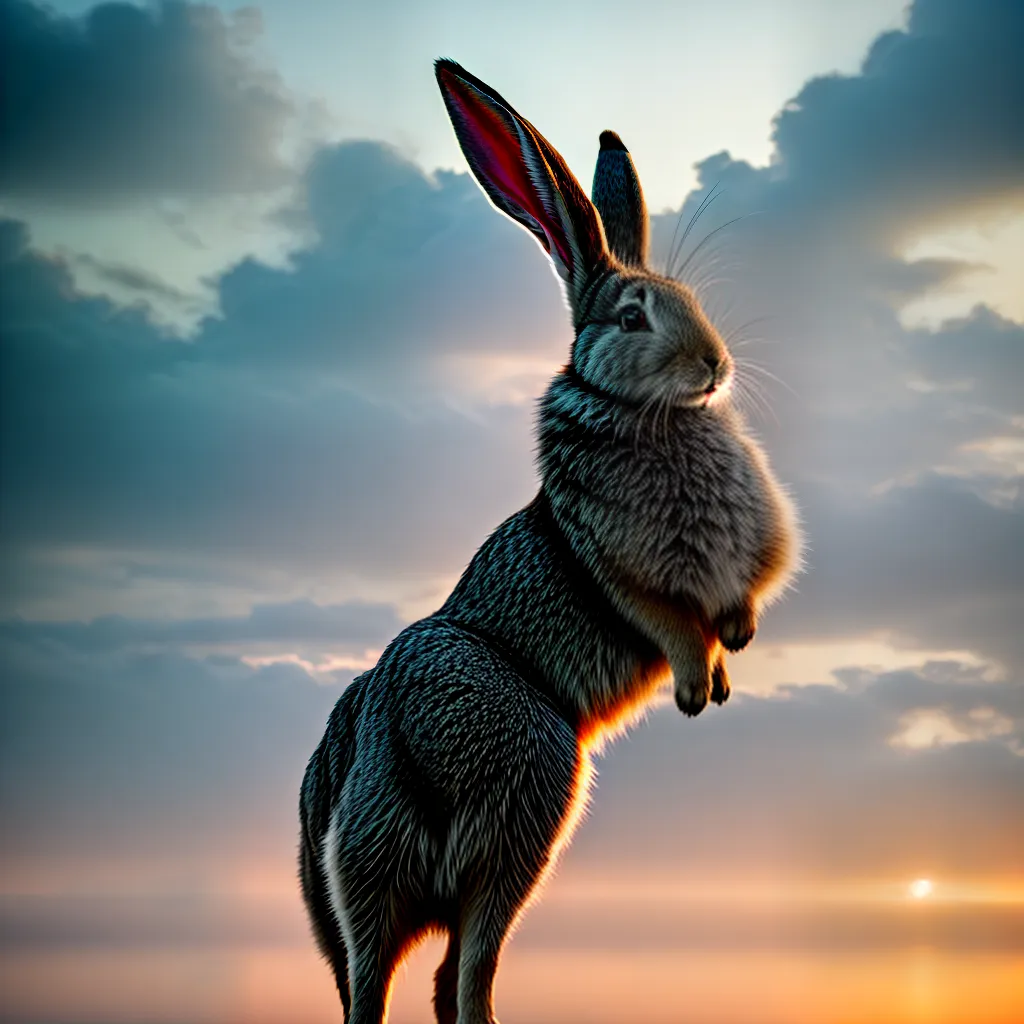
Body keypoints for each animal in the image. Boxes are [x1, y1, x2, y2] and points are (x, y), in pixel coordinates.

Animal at [299, 59, 803, 1024]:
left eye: (692, 303)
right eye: (632, 318)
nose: (715, 367)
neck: (642, 413)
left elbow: (733, 614)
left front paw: (733, 659)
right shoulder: (619, 567)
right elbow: (667, 621)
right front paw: (698, 691)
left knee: (418, 976)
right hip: (520, 805)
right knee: (444, 972)